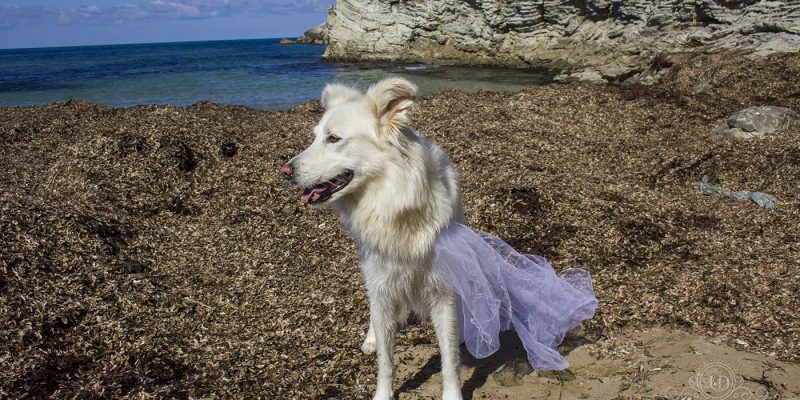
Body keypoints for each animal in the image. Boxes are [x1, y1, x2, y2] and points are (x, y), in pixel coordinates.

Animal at [284, 76, 466, 398]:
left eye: (333, 138)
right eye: (315, 137)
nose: (284, 171)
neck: (395, 204)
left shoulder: (443, 292)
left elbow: (449, 360)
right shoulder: (382, 285)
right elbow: (386, 360)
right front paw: (382, 392)